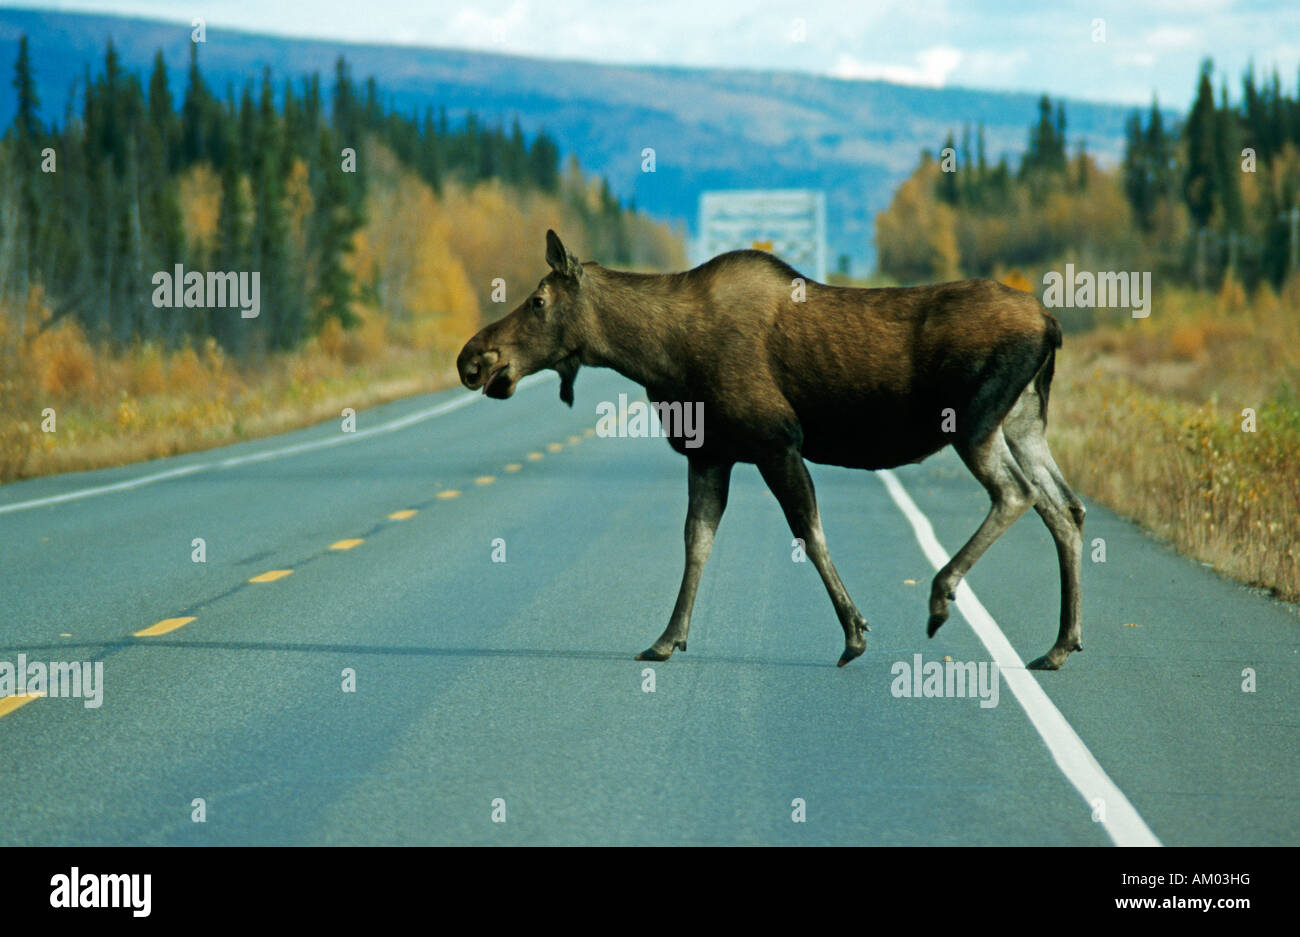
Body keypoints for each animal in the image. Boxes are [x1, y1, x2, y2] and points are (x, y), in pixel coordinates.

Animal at [457, 233, 1086, 670]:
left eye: (538, 300)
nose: (473, 359)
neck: (659, 357)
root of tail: (1051, 323)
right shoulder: (710, 452)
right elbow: (696, 540)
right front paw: (666, 639)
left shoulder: (776, 442)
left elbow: (809, 531)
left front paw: (854, 634)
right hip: (1022, 421)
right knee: (1066, 508)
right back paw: (1060, 644)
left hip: (974, 423)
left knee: (1017, 493)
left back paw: (942, 594)